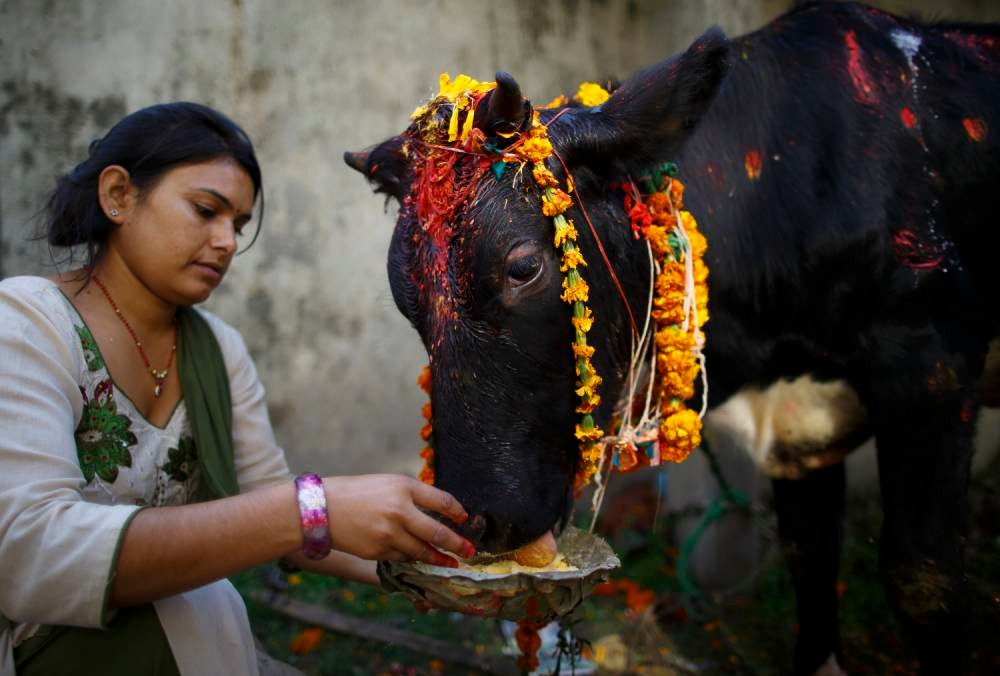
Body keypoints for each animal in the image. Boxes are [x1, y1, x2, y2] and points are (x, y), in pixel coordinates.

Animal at [346, 2, 1000, 672]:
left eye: (522, 266)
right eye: (404, 297)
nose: (478, 521)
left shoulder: (933, 360)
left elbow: (922, 579)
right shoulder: (802, 432)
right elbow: (810, 555)